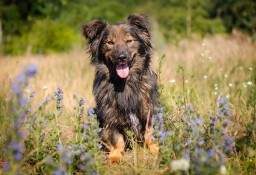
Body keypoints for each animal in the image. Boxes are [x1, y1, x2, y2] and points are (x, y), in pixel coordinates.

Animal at [82, 13, 158, 163]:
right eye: (110, 43)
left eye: (129, 41)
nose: (121, 57)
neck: (124, 83)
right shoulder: (110, 114)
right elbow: (116, 138)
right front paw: (115, 155)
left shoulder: (149, 109)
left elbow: (149, 133)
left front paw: (154, 148)